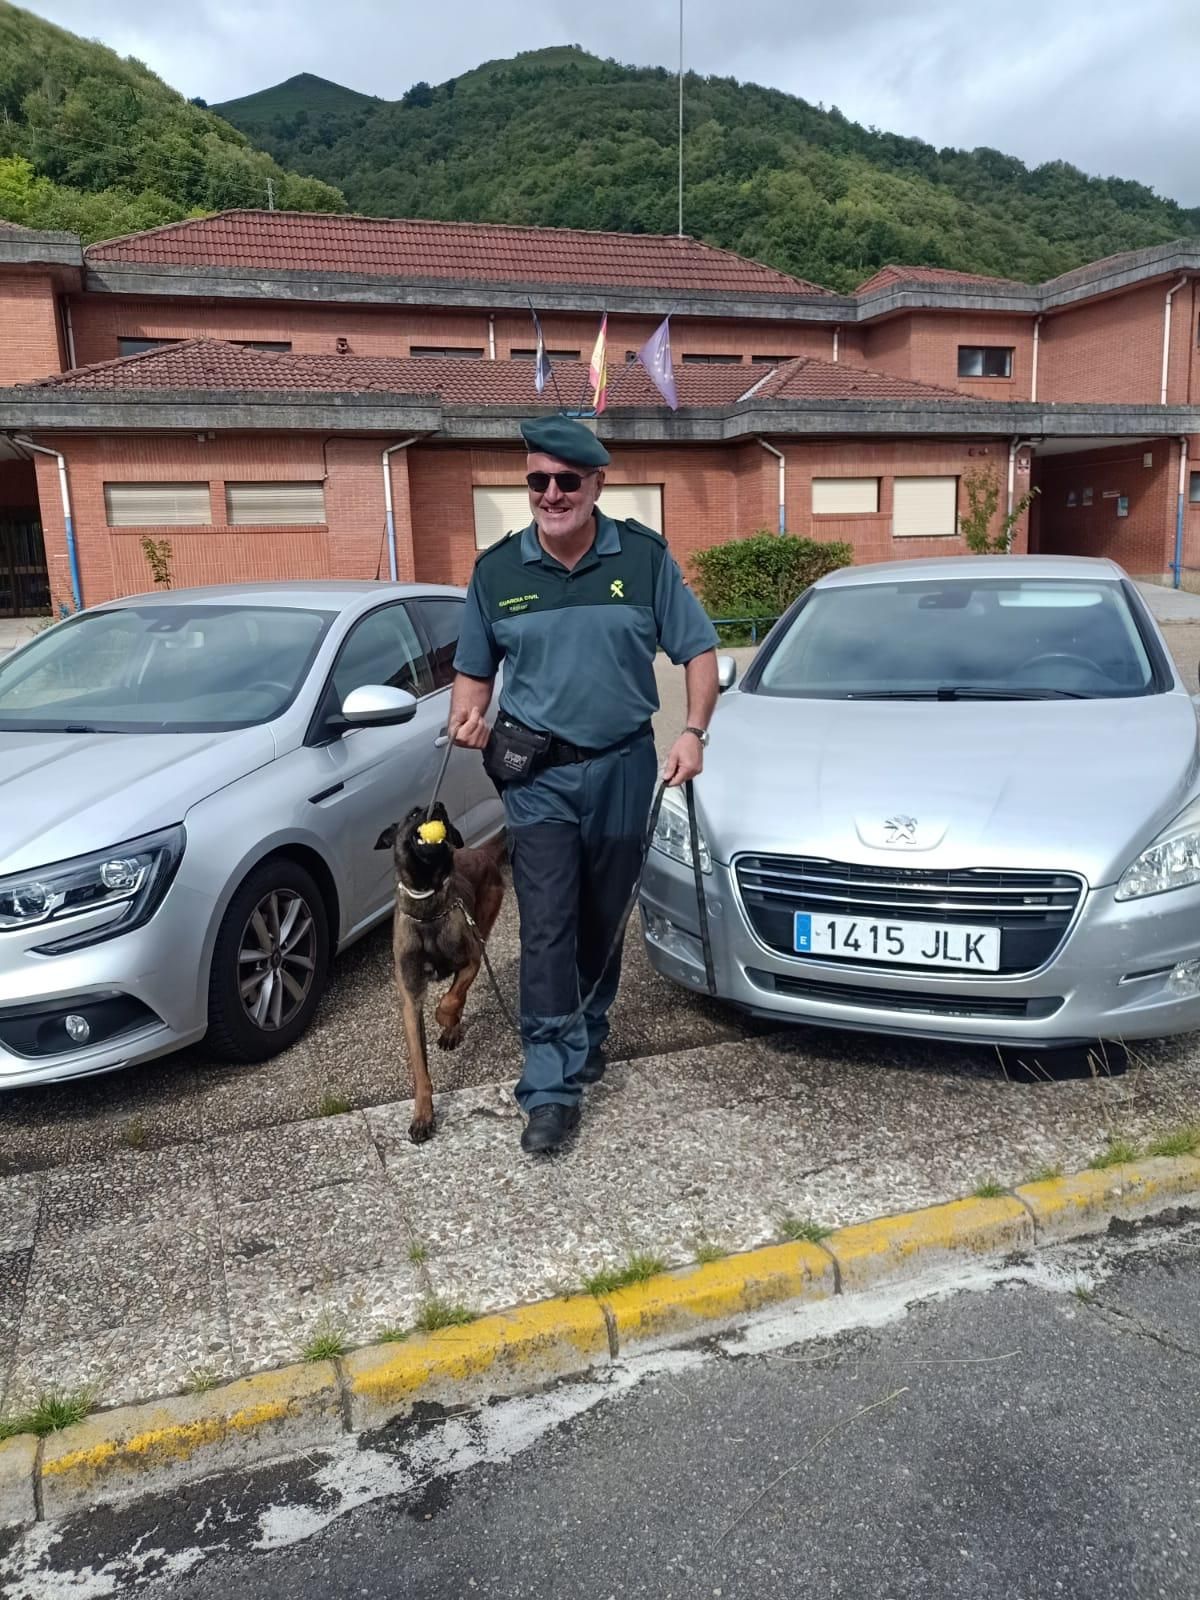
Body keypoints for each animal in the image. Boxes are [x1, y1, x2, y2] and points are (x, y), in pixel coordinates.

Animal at [377, 806, 505, 1145]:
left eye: (442, 814)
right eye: (413, 814)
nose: (440, 808)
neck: (427, 910)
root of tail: (480, 851)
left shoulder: (472, 959)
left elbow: (450, 999)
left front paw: (446, 1020)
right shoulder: (410, 1001)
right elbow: (420, 1069)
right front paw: (423, 1115)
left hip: (483, 925)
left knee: (458, 994)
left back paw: (452, 1028)